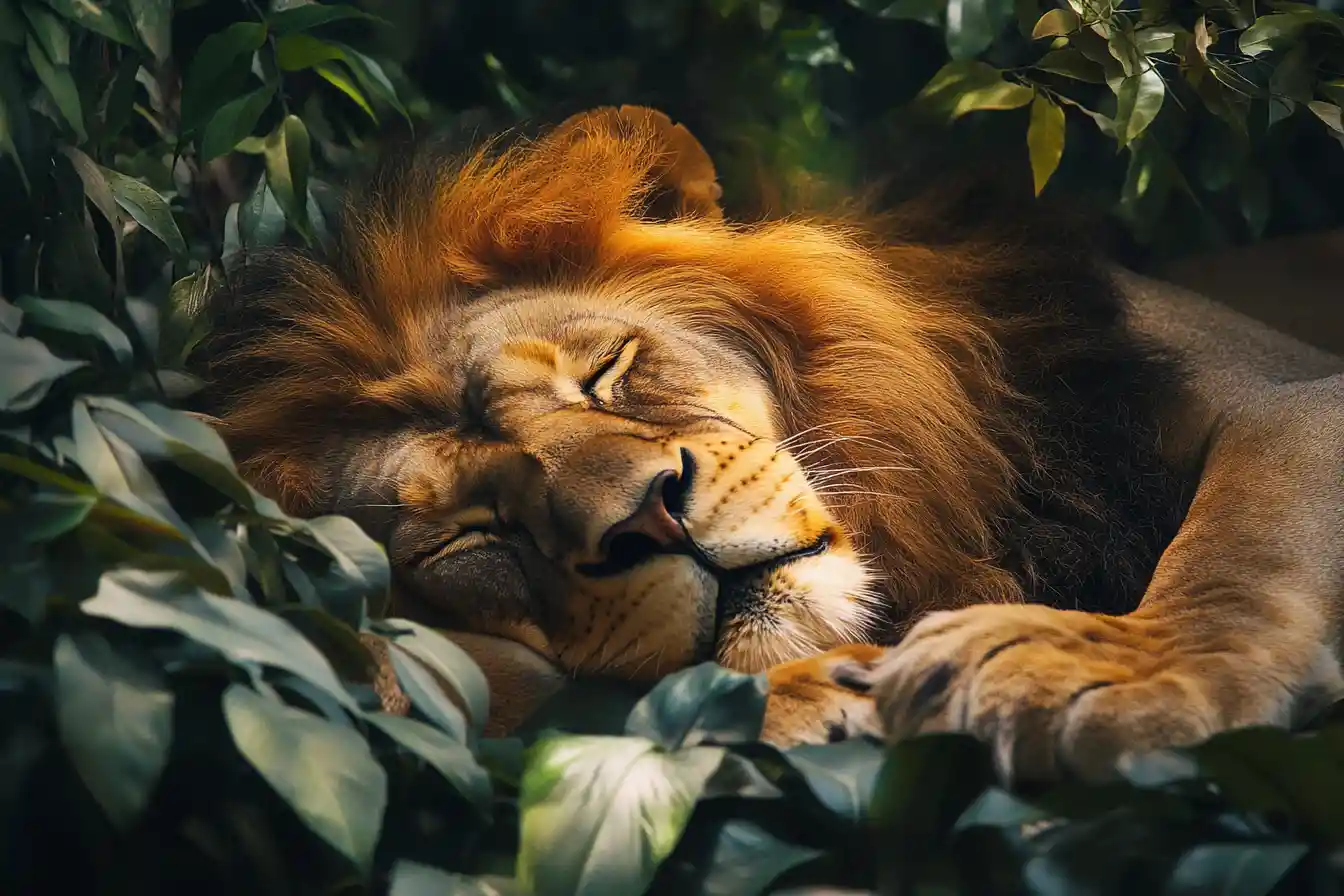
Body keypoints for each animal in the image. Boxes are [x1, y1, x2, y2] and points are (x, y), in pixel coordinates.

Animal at [194, 106, 1344, 783]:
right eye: (473, 536)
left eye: (605, 370)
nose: (647, 518)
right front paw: (821, 694)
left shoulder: (1292, 394)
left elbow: (1235, 549)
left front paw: (1101, 673)